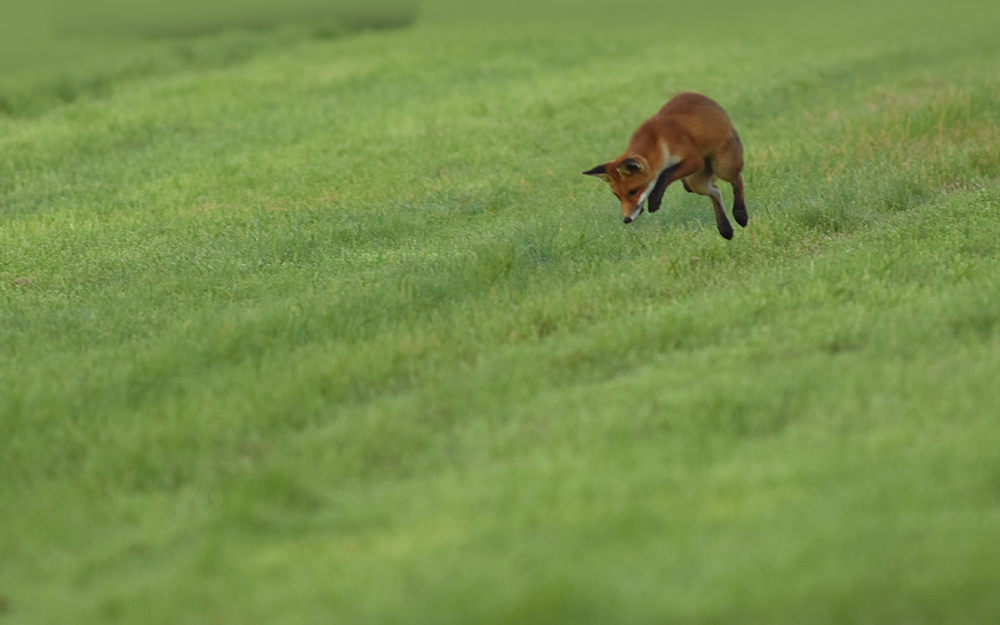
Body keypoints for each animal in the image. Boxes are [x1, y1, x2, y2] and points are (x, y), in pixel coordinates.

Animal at [584, 92, 748, 239]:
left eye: (633, 192)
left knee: (738, 179)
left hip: (723, 168)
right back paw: (725, 228)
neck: (659, 139)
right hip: (696, 182)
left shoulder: (694, 160)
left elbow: (666, 173)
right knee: (716, 192)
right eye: (617, 196)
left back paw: (740, 213)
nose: (626, 219)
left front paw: (655, 200)